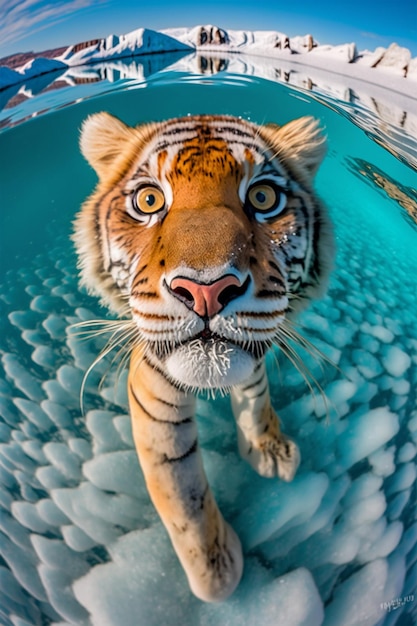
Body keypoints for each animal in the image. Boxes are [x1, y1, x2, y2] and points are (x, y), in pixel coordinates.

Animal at [73, 111, 334, 600]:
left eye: (263, 197)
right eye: (149, 199)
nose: (206, 290)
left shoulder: (254, 355)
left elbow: (256, 399)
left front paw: (268, 449)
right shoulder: (154, 400)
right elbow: (183, 494)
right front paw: (217, 573)